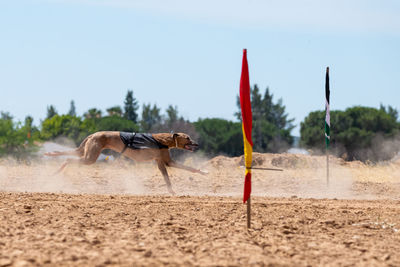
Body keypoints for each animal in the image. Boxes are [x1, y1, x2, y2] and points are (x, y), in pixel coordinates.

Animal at [44, 132, 206, 195]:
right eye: (188, 138)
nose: (197, 144)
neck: (163, 140)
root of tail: (93, 134)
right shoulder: (169, 162)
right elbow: (190, 168)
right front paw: (204, 171)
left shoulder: (161, 163)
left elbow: (167, 179)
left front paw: (172, 192)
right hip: (89, 158)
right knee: (68, 159)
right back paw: (56, 171)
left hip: (85, 153)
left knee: (66, 154)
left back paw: (51, 157)